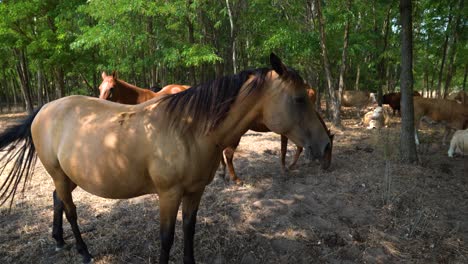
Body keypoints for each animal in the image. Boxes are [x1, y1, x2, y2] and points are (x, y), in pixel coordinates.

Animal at [0, 53, 330, 264]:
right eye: (299, 99)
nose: (326, 145)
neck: (189, 129)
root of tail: (44, 109)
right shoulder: (169, 195)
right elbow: (167, 238)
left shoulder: (195, 192)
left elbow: (189, 231)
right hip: (59, 174)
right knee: (70, 211)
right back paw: (83, 252)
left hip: (67, 175)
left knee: (57, 201)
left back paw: (58, 241)